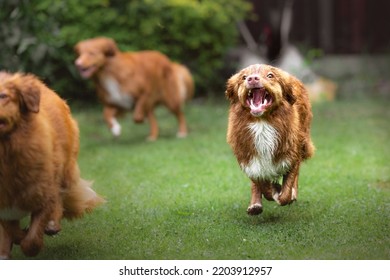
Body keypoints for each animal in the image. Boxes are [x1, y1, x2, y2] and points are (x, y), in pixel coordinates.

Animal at [0, 72, 105, 258]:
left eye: (3, 96)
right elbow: (11, 229)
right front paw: (11, 243)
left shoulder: (43, 190)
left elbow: (31, 242)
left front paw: (30, 238)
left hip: (63, 171)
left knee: (59, 199)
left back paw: (52, 225)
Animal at [225, 64, 314, 215]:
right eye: (243, 77)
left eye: (270, 75)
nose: (252, 78)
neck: (262, 124)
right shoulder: (249, 160)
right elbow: (261, 184)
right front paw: (272, 190)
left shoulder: (292, 156)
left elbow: (286, 191)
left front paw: (281, 193)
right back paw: (255, 205)